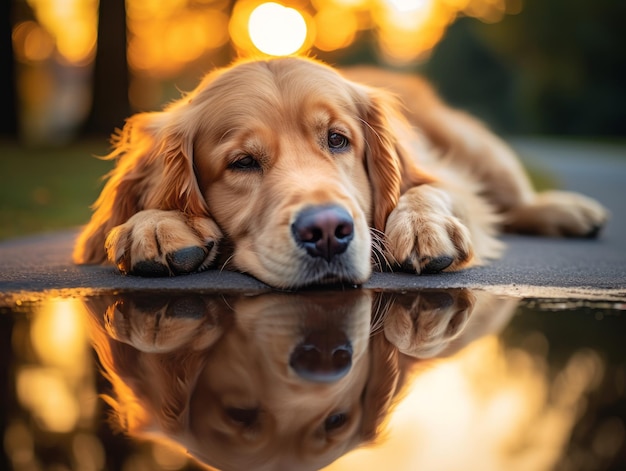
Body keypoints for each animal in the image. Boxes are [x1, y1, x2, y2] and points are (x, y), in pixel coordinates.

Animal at [72, 57, 604, 290]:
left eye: (337, 140)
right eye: (242, 163)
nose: (327, 231)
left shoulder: (447, 180)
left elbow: (425, 190)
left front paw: (422, 226)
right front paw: (155, 223)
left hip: (478, 146)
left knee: (513, 201)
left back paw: (570, 210)